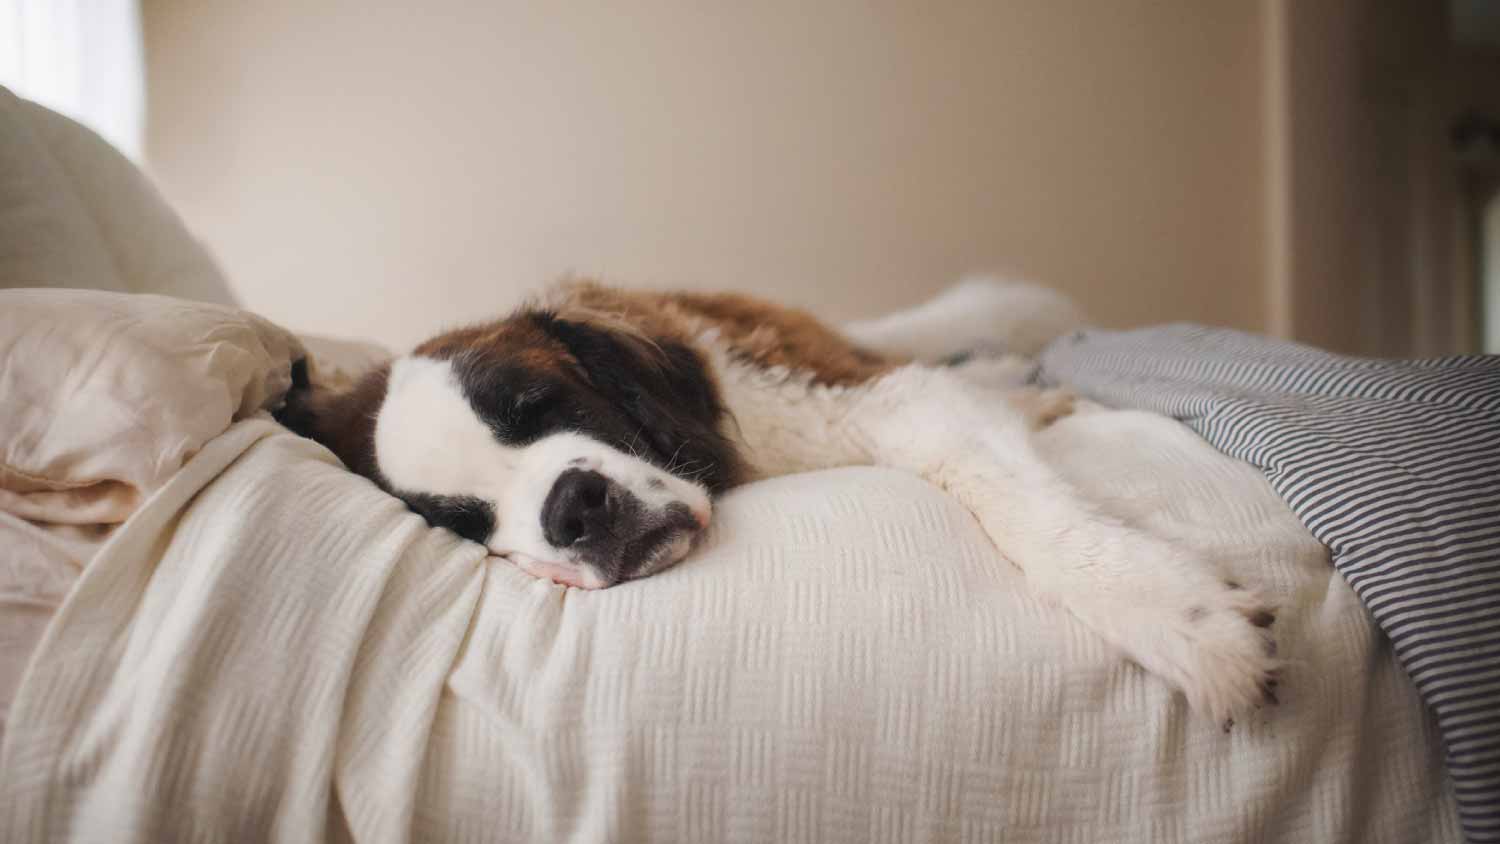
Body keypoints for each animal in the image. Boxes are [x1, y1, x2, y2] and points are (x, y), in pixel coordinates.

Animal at [279, 278, 1278, 725]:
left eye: (541, 405)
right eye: (466, 523)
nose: (573, 509)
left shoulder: (882, 399)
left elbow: (1010, 496)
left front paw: (1177, 617)